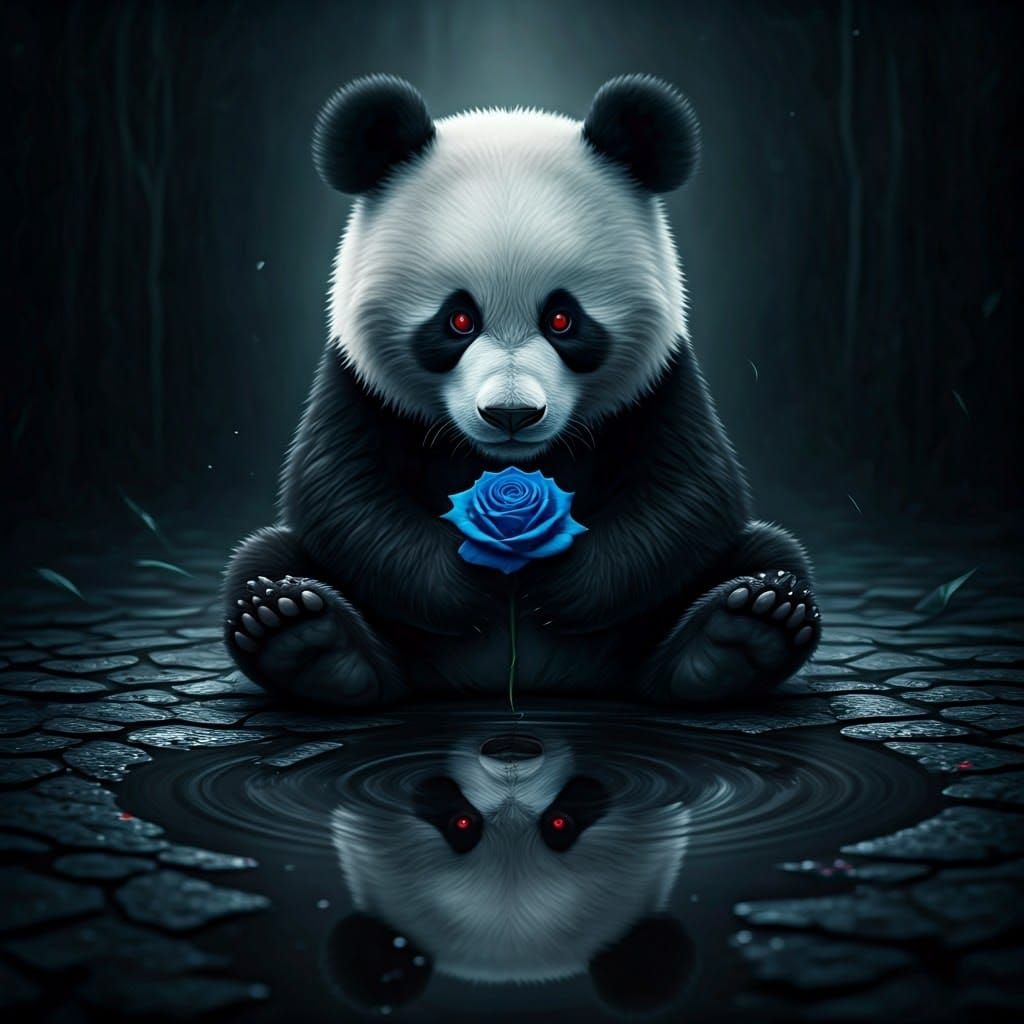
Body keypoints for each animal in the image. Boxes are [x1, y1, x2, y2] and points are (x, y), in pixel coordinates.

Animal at [223, 74, 821, 707]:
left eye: (563, 319)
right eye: (458, 320)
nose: (511, 414)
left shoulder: (662, 381)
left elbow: (690, 495)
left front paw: (555, 584)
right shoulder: (357, 382)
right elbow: (340, 495)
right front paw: (472, 586)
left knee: (769, 555)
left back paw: (741, 635)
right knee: (264, 560)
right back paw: (304, 637)